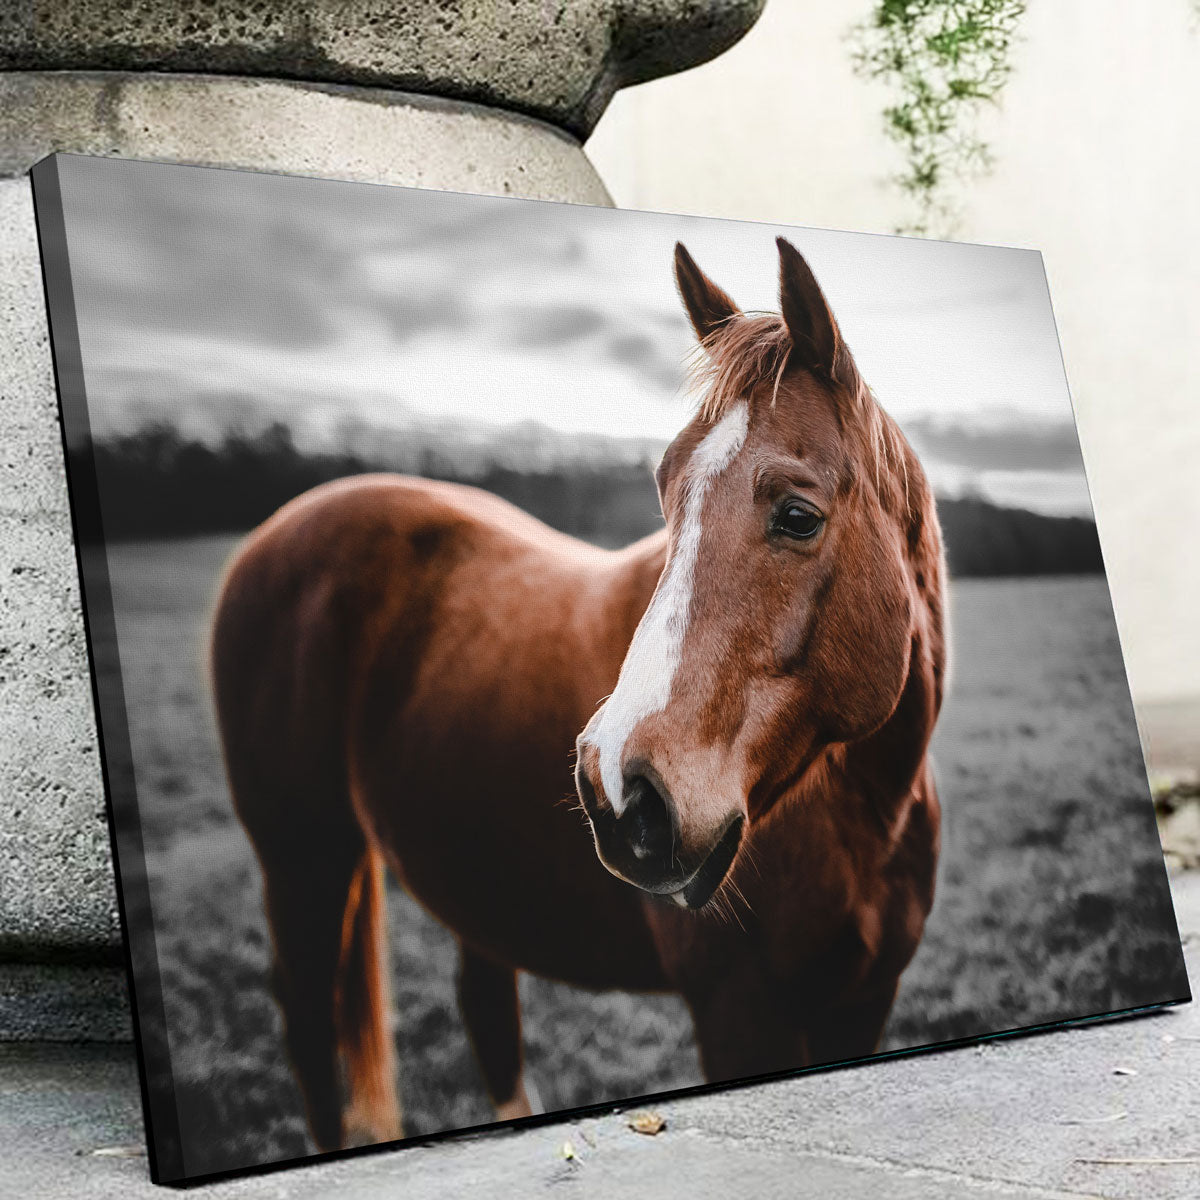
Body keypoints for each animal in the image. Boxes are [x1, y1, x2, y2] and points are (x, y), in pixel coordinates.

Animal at [210, 237, 946, 1153]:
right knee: (311, 1025)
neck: (864, 813)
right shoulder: (741, 1009)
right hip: (300, 859)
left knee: (484, 1012)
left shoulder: (864, 999)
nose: (619, 790)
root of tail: (270, 538)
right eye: (666, 488)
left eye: (799, 515)